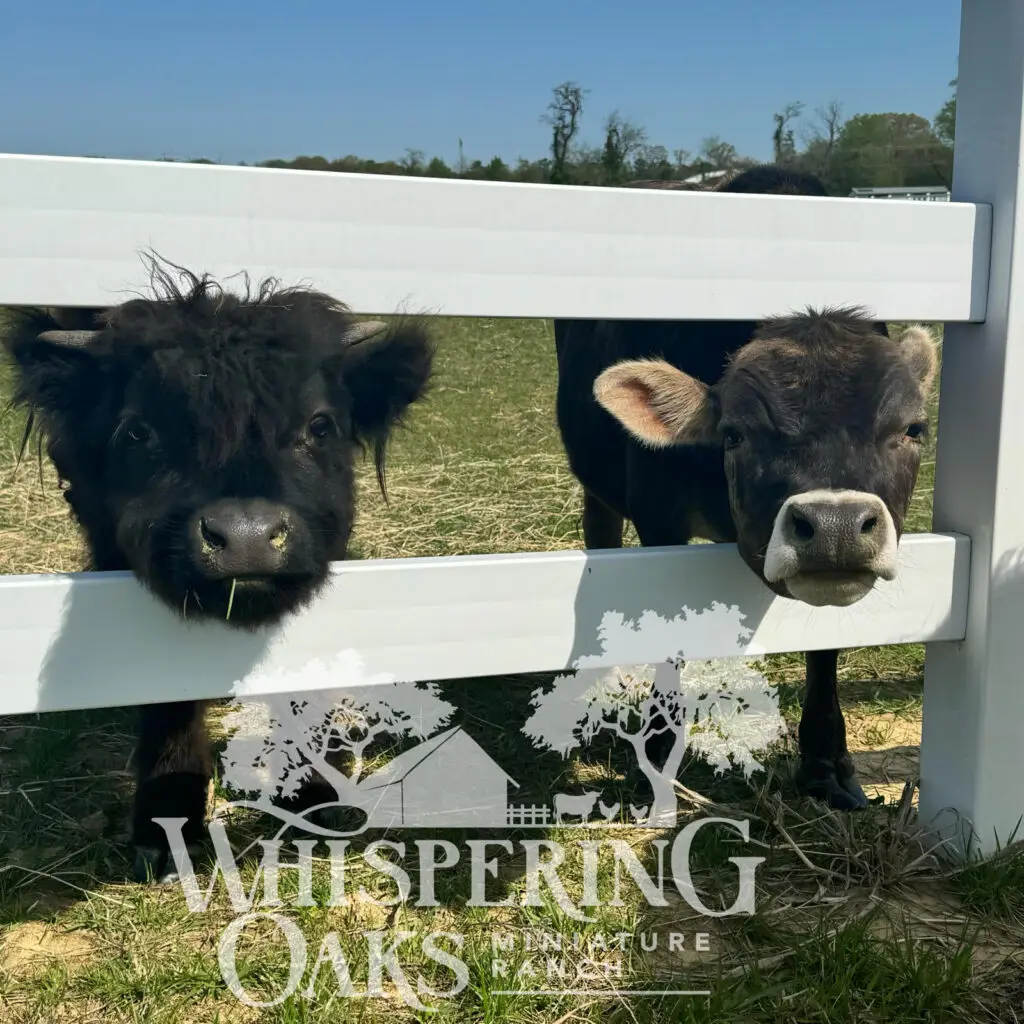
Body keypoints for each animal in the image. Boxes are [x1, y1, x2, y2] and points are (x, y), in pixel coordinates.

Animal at [3, 258, 435, 882]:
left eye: (320, 424)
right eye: (138, 430)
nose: (247, 537)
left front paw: (313, 792)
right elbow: (166, 697)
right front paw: (165, 824)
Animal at [553, 164, 938, 812]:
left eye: (913, 429)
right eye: (733, 434)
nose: (835, 528)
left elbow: (825, 649)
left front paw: (825, 764)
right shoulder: (659, 519)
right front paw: (660, 749)